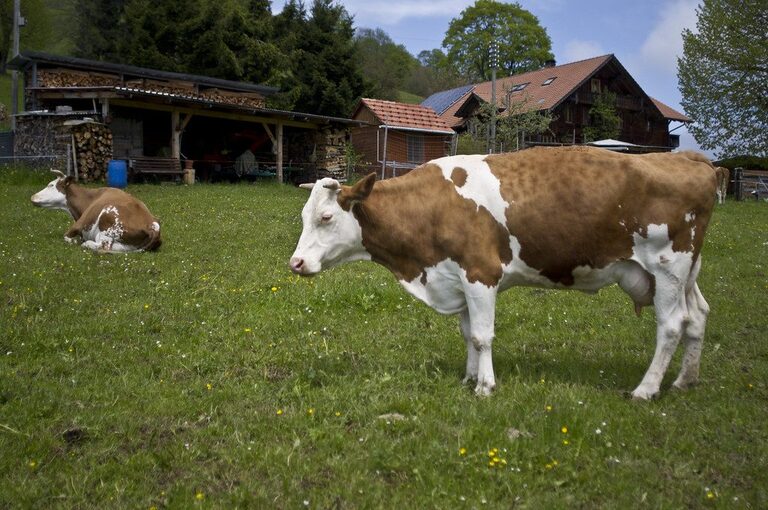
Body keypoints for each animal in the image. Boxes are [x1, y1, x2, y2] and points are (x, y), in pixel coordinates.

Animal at [31, 170, 161, 253]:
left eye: (51, 185)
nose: (32, 196)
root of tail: (152, 225)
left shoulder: (79, 224)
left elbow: (67, 237)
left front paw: (75, 241)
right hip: (125, 246)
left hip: (107, 223)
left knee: (103, 246)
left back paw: (86, 244)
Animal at [289, 146, 717, 399]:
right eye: (305, 216)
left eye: (326, 217)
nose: (295, 263)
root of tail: (687, 157)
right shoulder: (457, 276)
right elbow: (467, 333)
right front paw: (468, 377)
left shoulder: (482, 272)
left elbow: (482, 335)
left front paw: (485, 385)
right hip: (687, 272)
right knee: (698, 315)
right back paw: (685, 379)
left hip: (669, 266)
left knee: (672, 325)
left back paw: (646, 388)